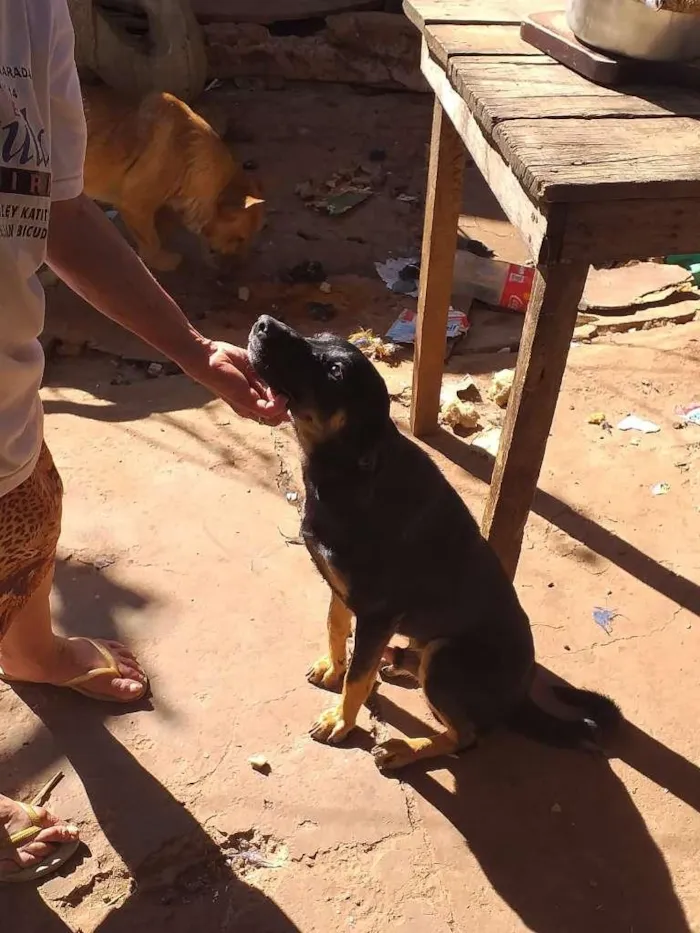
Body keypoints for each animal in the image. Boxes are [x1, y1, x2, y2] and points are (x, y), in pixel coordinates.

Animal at [249, 316, 620, 768]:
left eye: (334, 372)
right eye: (319, 338)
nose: (263, 323)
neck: (349, 471)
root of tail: (519, 699)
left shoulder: (377, 613)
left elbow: (357, 678)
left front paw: (342, 719)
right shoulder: (341, 589)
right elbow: (336, 627)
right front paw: (333, 669)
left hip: (446, 657)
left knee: (466, 736)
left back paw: (406, 748)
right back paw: (398, 661)